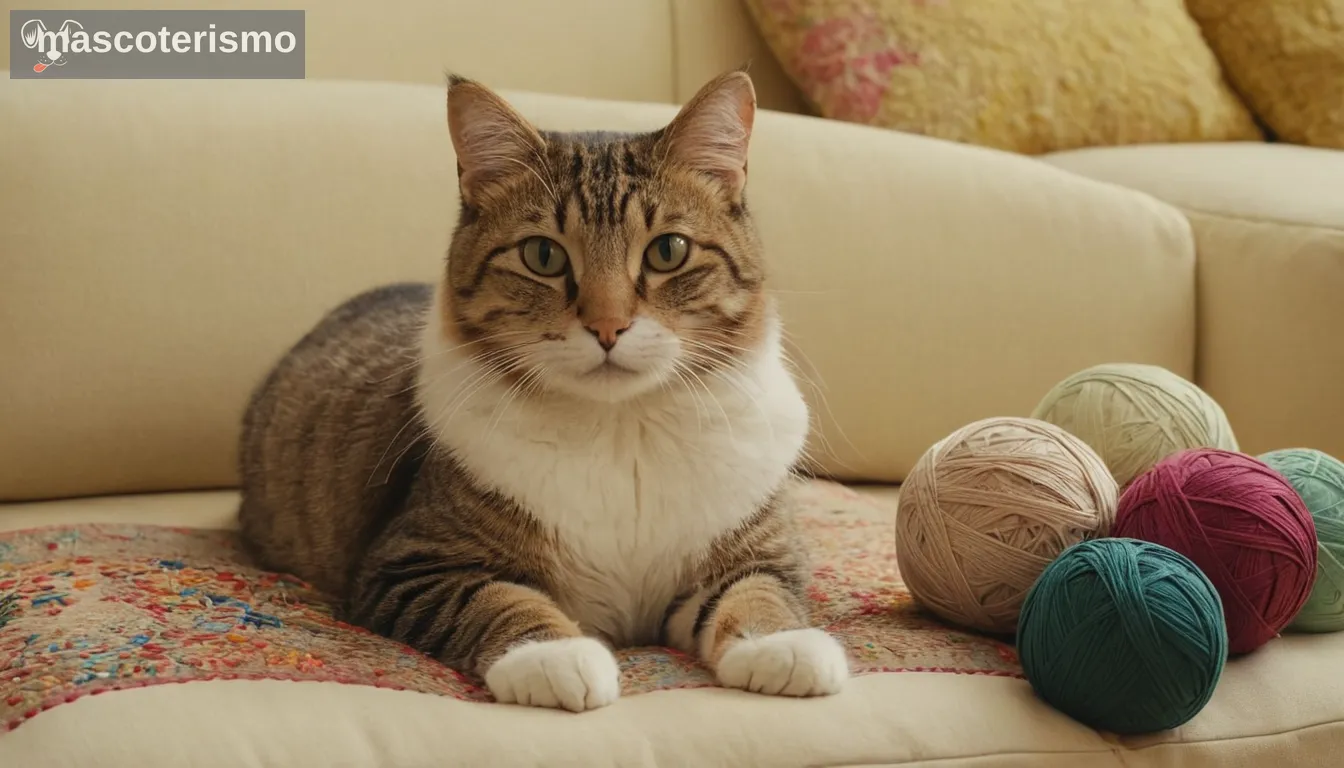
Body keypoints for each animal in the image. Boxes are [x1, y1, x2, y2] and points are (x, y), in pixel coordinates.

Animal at [239, 73, 849, 715]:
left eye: (668, 250)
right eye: (543, 255)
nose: (607, 327)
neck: (621, 432)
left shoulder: (758, 553)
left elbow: (757, 593)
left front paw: (783, 647)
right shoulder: (409, 563)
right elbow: (498, 600)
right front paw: (554, 656)